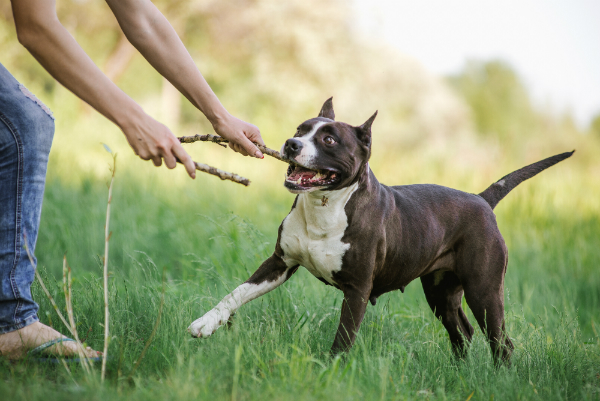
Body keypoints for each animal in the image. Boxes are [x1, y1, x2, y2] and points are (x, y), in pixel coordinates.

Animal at [188, 97, 572, 362]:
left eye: (329, 140)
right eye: (300, 130)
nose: (291, 145)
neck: (325, 206)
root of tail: (481, 200)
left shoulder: (357, 290)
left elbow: (343, 338)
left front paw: (329, 371)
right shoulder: (279, 264)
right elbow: (235, 294)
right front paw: (206, 323)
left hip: (485, 291)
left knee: (501, 341)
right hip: (442, 292)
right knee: (461, 332)